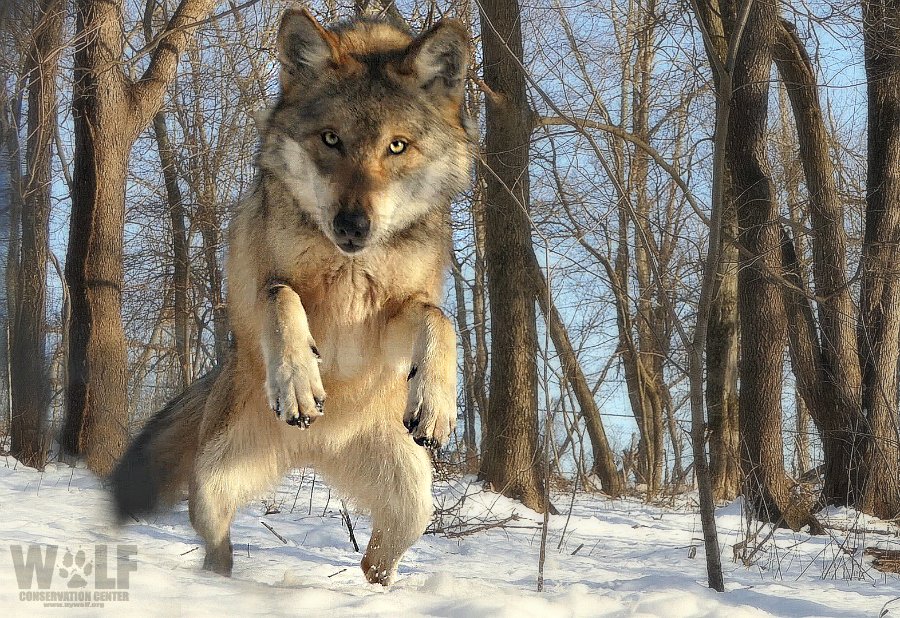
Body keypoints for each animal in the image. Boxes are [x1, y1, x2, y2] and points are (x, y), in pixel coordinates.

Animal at [110, 7, 473, 586]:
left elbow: (439, 317)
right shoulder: (262, 287)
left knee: (375, 561)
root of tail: (311, 451)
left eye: (396, 146)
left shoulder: (392, 319)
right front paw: (298, 384)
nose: (352, 225)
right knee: (218, 550)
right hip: (210, 486)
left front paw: (435, 403)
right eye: (331, 139)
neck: (351, 265)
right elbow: (282, 300)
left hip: (414, 508)